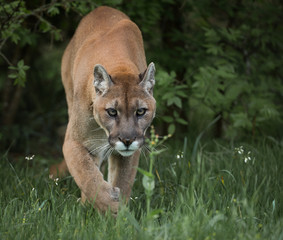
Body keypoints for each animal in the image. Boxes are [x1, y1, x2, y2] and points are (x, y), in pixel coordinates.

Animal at [50, 6, 156, 215]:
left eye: (140, 111)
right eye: (112, 112)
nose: (127, 140)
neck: (119, 63)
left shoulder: (131, 152)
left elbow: (123, 180)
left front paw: (120, 214)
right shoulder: (75, 141)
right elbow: (88, 177)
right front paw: (111, 208)